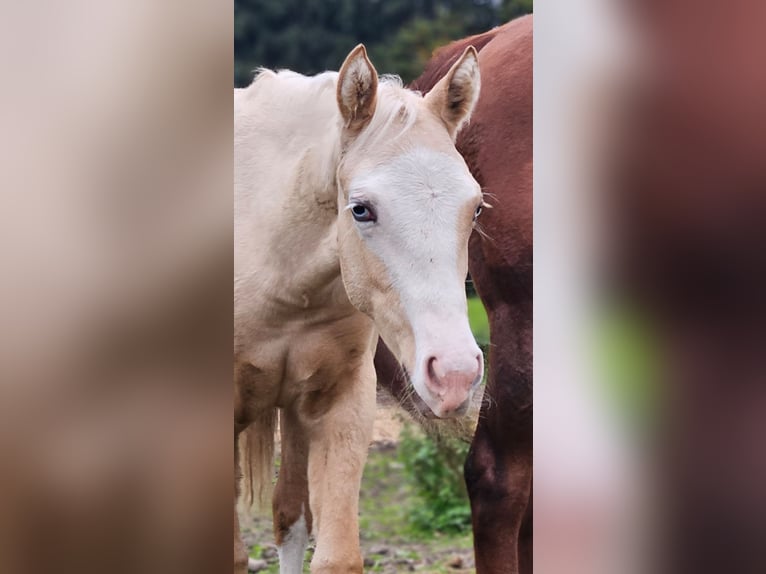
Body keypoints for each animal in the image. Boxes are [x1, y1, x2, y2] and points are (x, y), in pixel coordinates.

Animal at [234, 44, 486, 573]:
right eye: (361, 209)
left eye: (475, 208)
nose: (454, 375)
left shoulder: (343, 401)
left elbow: (336, 555)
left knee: (289, 516)